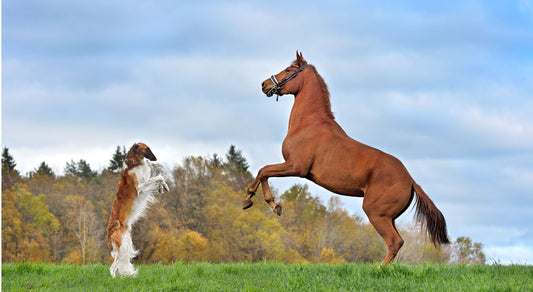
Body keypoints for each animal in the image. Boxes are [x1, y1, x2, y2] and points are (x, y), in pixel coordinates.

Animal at [106, 143, 168, 278]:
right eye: (147, 149)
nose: (155, 158)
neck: (135, 163)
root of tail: (111, 229)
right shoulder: (140, 187)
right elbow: (159, 176)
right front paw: (164, 186)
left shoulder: (146, 181)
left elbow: (158, 179)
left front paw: (162, 187)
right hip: (123, 247)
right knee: (112, 268)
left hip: (126, 243)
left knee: (117, 267)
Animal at [243, 51, 446, 264]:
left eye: (289, 70)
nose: (264, 84)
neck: (309, 124)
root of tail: (410, 180)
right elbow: (263, 172)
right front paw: (261, 203)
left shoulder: (296, 167)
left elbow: (263, 170)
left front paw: (262, 203)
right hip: (390, 218)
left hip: (377, 214)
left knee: (394, 242)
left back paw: (378, 269)